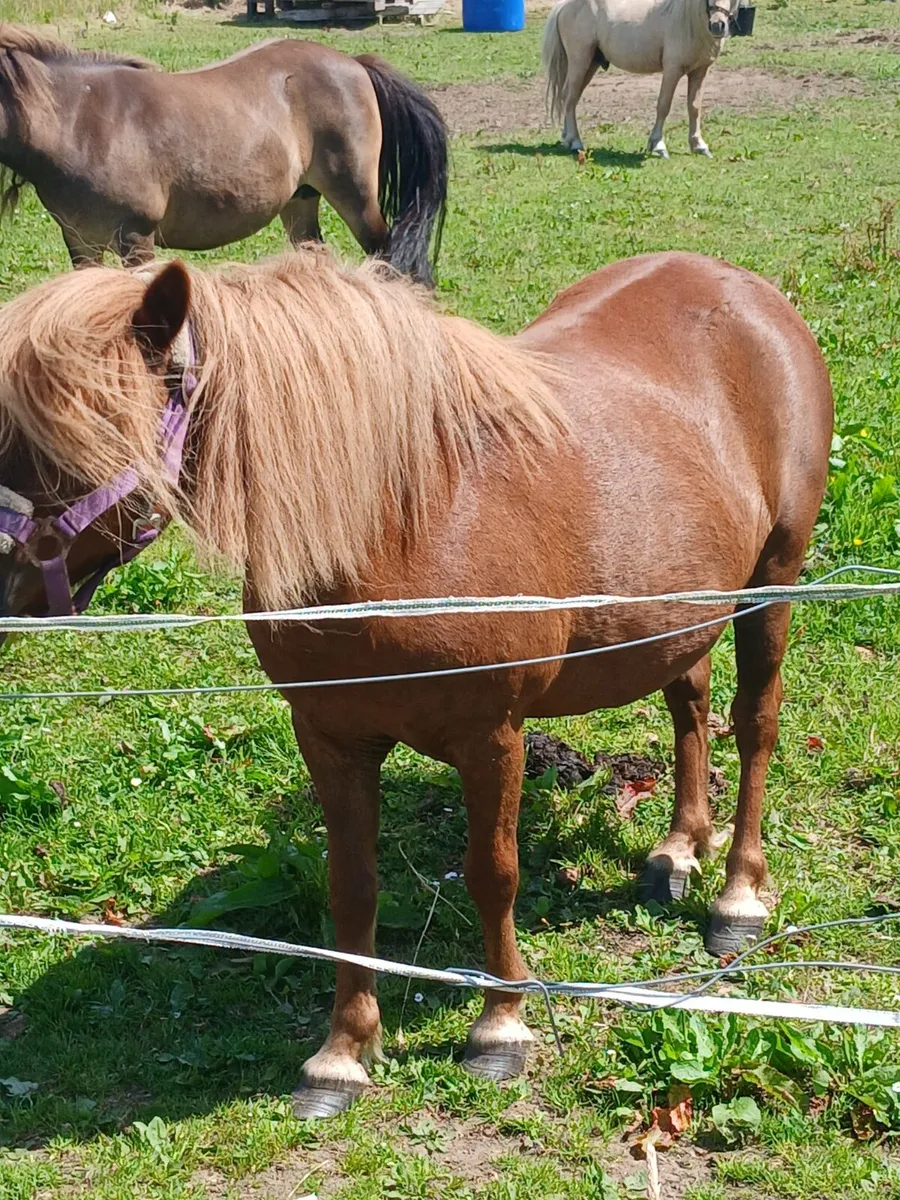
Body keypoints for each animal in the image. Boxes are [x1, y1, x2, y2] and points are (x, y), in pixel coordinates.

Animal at [0, 26, 447, 285]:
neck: (80, 120)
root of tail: (354, 62)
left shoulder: (136, 238)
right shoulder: (81, 243)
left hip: (356, 199)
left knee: (388, 259)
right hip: (301, 200)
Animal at [0, 247, 832, 1118]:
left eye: (71, 438)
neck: (402, 522)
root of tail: (746, 289)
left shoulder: (492, 736)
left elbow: (492, 875)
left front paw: (501, 1024)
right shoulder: (329, 736)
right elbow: (353, 885)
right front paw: (342, 1052)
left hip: (774, 575)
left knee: (756, 723)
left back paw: (738, 895)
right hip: (679, 609)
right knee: (689, 704)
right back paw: (679, 848)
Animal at [542, 0, 743, 157]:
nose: (717, 25)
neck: (689, 21)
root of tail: (563, 5)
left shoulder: (699, 71)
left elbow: (694, 108)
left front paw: (699, 146)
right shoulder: (672, 70)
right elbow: (663, 106)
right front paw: (658, 146)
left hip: (590, 64)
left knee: (570, 98)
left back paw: (568, 139)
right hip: (580, 61)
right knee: (569, 98)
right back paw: (576, 142)